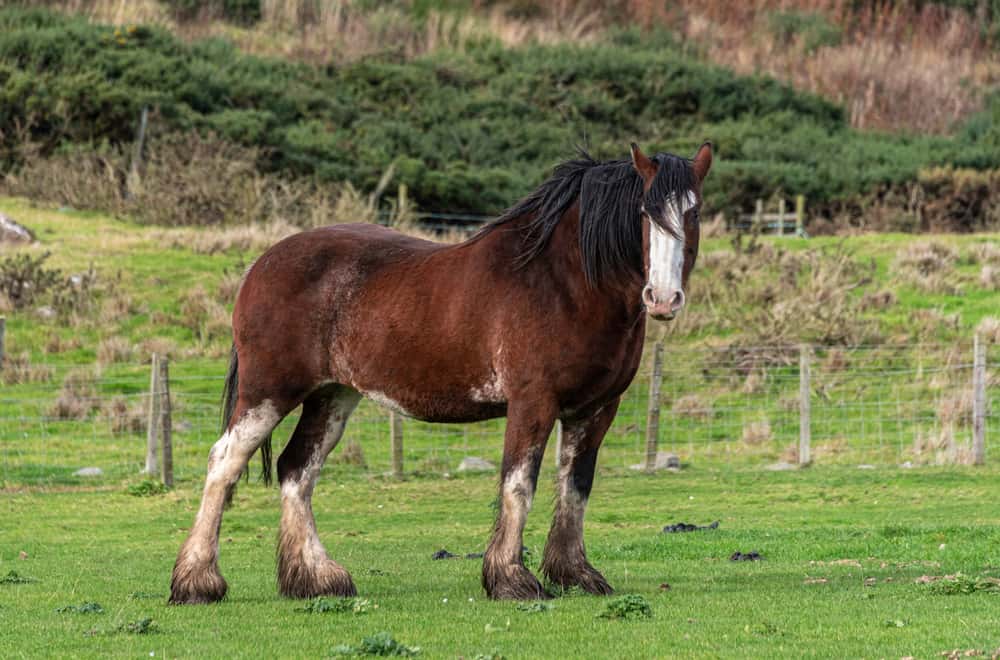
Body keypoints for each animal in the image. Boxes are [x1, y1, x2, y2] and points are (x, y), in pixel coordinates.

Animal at [169, 142, 712, 604]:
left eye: (694, 212)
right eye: (644, 214)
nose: (663, 299)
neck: (564, 284)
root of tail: (261, 266)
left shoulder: (596, 408)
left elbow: (575, 486)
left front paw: (575, 574)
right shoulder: (533, 402)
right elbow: (519, 484)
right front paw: (511, 580)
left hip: (332, 396)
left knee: (297, 469)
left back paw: (317, 578)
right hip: (269, 392)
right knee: (224, 462)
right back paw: (198, 582)